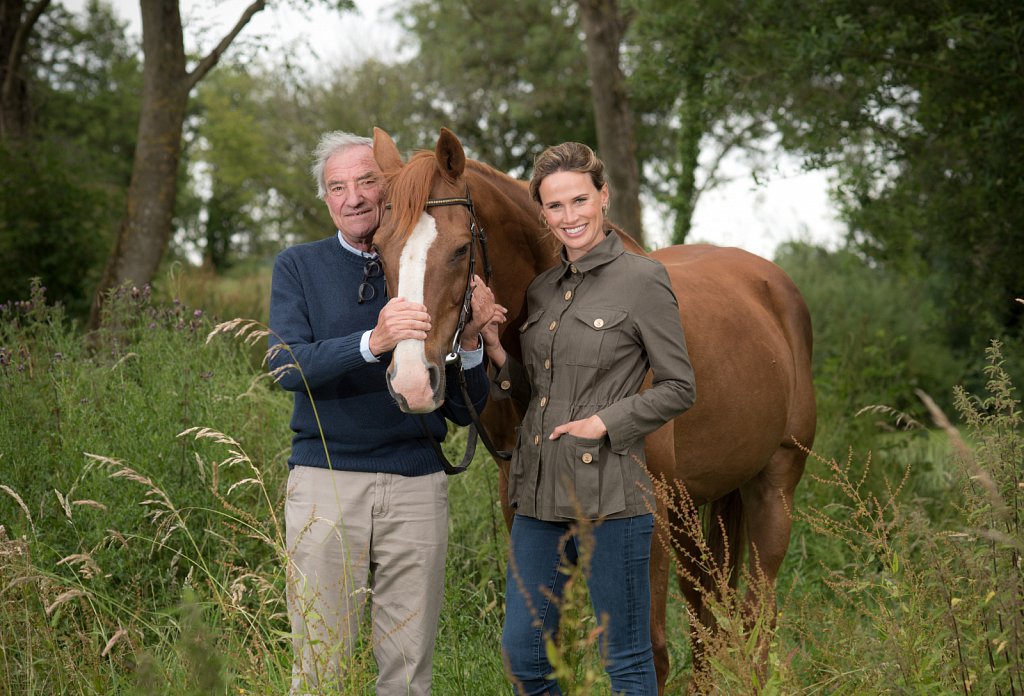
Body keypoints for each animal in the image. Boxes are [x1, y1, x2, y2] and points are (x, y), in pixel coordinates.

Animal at [370, 127, 815, 691]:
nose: (411, 382)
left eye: (458, 250)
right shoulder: (524, 505)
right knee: (706, 614)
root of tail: (773, 284)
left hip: (772, 488)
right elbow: (545, 647)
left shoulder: (649, 509)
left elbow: (652, 651)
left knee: (758, 619)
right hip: (700, 508)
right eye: (378, 249)